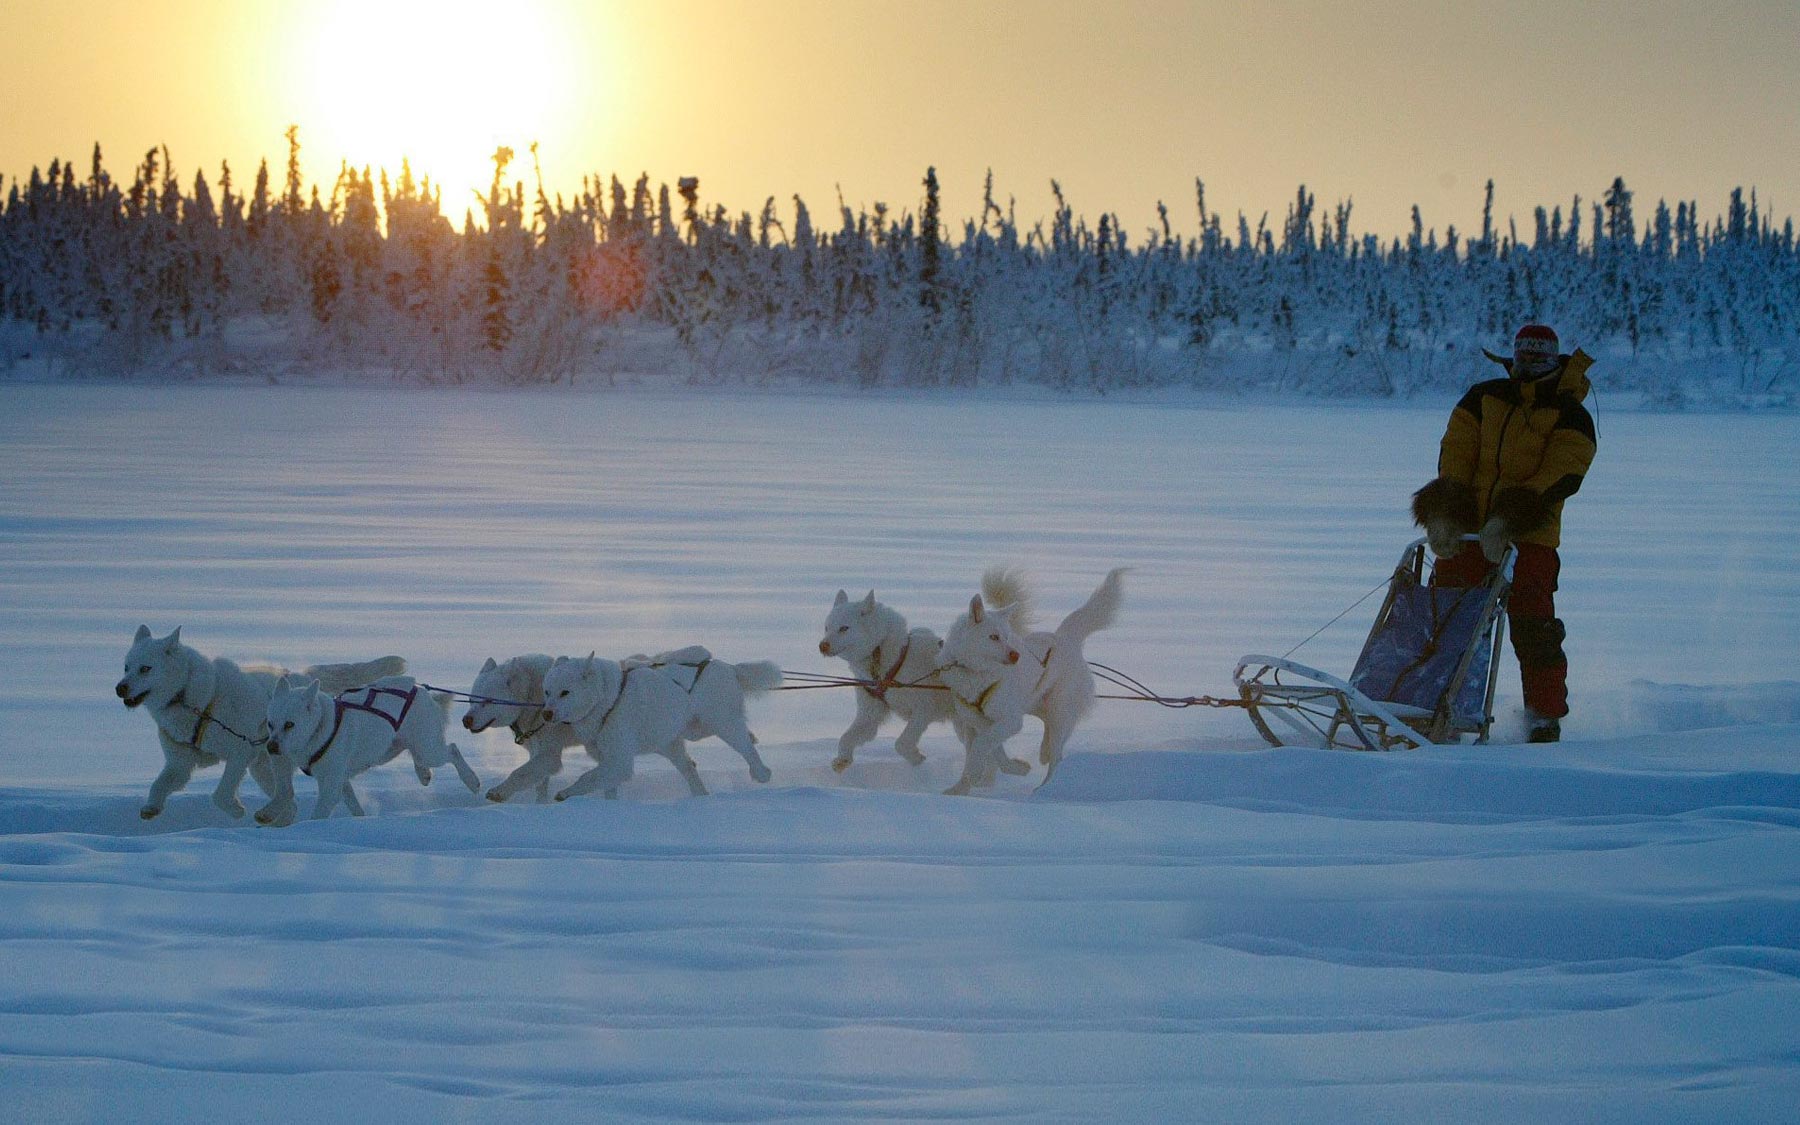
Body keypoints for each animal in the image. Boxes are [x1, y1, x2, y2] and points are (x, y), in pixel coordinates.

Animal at [116, 622, 405, 824]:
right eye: (126, 667)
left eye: (145, 668)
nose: (120, 688)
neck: (197, 700)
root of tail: (302, 679)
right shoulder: (180, 764)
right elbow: (158, 784)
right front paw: (151, 807)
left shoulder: (240, 752)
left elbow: (220, 794)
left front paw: (236, 810)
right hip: (264, 766)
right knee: (290, 802)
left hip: (267, 761)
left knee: (289, 797)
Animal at [471, 655, 723, 802]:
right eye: (473, 698)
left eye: (487, 700)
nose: (465, 720)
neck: (533, 696)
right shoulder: (538, 750)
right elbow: (537, 780)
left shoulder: (549, 753)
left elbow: (522, 772)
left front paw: (499, 792)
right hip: (662, 741)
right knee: (688, 765)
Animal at [936, 565, 1116, 795]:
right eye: (994, 637)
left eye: (1007, 636)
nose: (1016, 656)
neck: (977, 673)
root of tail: (1065, 639)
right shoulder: (979, 722)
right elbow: (994, 750)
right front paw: (963, 787)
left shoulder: (1011, 720)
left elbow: (982, 745)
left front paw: (974, 773)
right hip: (1037, 704)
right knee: (1049, 738)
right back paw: (1043, 753)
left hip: (1059, 712)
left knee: (1057, 756)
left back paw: (1045, 788)